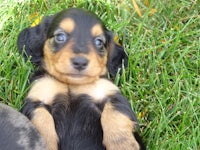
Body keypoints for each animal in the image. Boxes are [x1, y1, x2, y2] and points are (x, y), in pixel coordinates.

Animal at [17, 8, 145, 150]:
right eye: (60, 36)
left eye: (99, 42)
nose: (80, 62)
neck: (71, 84)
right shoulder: (36, 101)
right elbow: (41, 124)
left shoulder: (113, 96)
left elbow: (115, 117)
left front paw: (123, 145)